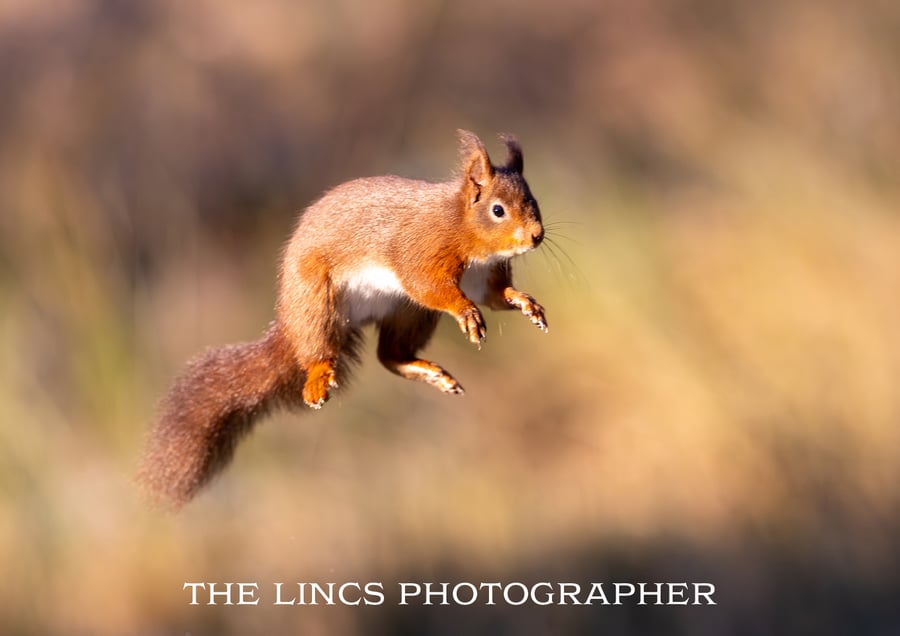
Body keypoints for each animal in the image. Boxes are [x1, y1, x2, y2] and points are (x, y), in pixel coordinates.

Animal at [137, 130, 548, 508]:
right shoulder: (421, 250)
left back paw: (430, 373)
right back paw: (318, 377)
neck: (463, 227)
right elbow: (430, 284)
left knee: (390, 355)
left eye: (534, 201)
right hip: (318, 304)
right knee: (320, 351)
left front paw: (525, 303)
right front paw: (466, 312)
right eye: (498, 210)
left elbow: (495, 297)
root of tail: (288, 325)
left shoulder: (482, 277)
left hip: (408, 313)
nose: (537, 236)